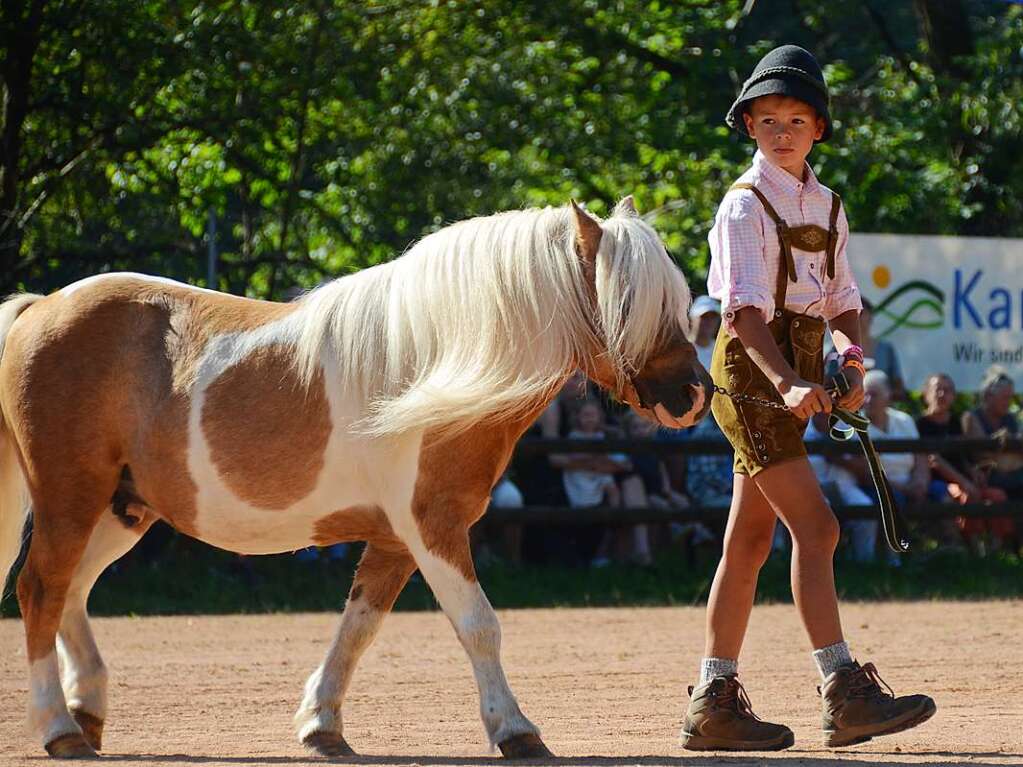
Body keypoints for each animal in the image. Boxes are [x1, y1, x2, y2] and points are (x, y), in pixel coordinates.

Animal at [1, 196, 712, 756]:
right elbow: (479, 625)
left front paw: (321, 725)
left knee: (70, 591)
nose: (693, 395)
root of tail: (42, 307)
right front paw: (515, 731)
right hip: (71, 498)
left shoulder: (395, 538)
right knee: (42, 588)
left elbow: (359, 628)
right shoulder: (432, 526)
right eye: (630, 303)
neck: (437, 365)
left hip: (122, 509)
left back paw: (87, 716)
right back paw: (59, 730)